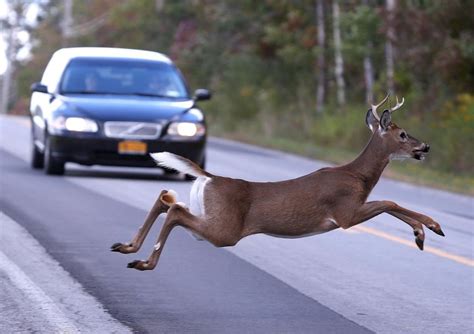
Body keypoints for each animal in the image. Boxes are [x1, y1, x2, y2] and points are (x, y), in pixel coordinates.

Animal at [111, 94, 444, 272]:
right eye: (402, 134)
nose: (425, 147)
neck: (358, 177)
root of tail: (211, 177)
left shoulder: (350, 211)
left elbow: (390, 203)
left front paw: (423, 232)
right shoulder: (345, 212)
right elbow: (389, 201)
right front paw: (428, 228)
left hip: (209, 216)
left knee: (167, 198)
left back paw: (127, 248)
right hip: (225, 230)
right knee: (175, 211)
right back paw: (144, 262)